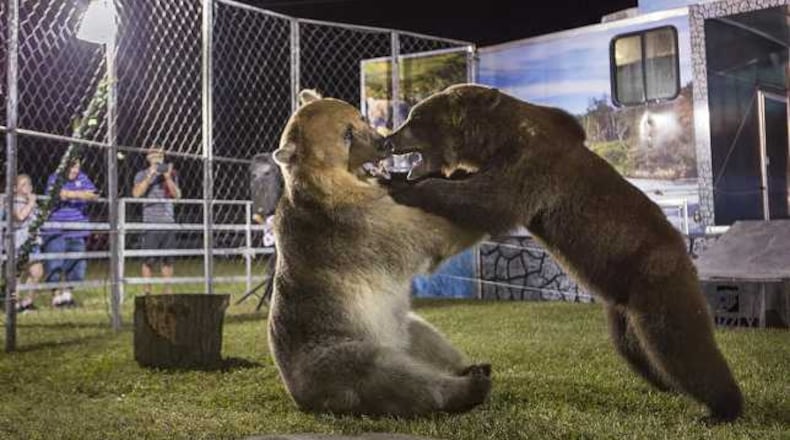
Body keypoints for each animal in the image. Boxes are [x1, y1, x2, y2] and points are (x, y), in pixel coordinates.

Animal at [267, 91, 491, 417]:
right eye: (346, 136)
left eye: (360, 117)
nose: (383, 143)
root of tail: (299, 395)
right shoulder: (359, 223)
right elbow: (426, 231)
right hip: (332, 354)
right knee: (384, 375)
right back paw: (467, 389)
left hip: (399, 328)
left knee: (425, 337)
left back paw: (470, 368)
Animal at [381, 84, 743, 422]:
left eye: (415, 118)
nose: (388, 140)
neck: (496, 138)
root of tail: (685, 254)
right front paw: (400, 176)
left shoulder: (531, 164)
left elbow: (486, 199)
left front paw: (401, 184)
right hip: (623, 305)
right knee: (636, 348)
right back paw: (665, 385)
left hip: (656, 277)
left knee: (681, 343)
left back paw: (722, 409)